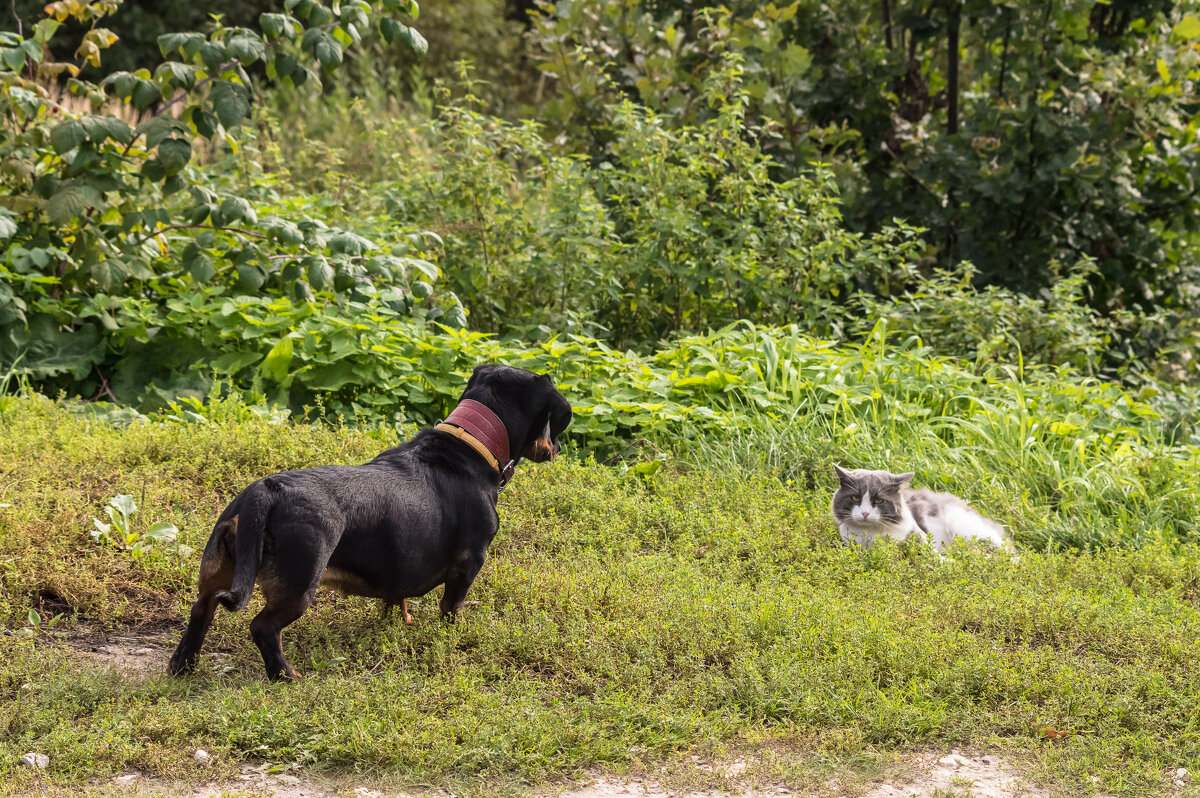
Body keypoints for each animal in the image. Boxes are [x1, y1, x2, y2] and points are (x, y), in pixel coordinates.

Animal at [168, 364, 571, 681]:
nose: (556, 450)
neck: (467, 446)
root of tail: (266, 490)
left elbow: (397, 601)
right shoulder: (469, 563)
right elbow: (450, 609)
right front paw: (449, 636)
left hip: (220, 571)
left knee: (201, 611)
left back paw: (182, 667)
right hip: (299, 584)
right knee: (263, 628)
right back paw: (285, 675)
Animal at [835, 463, 1012, 552]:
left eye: (878, 500)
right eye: (855, 498)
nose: (865, 513)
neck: (870, 534)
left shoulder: (916, 536)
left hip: (963, 527)